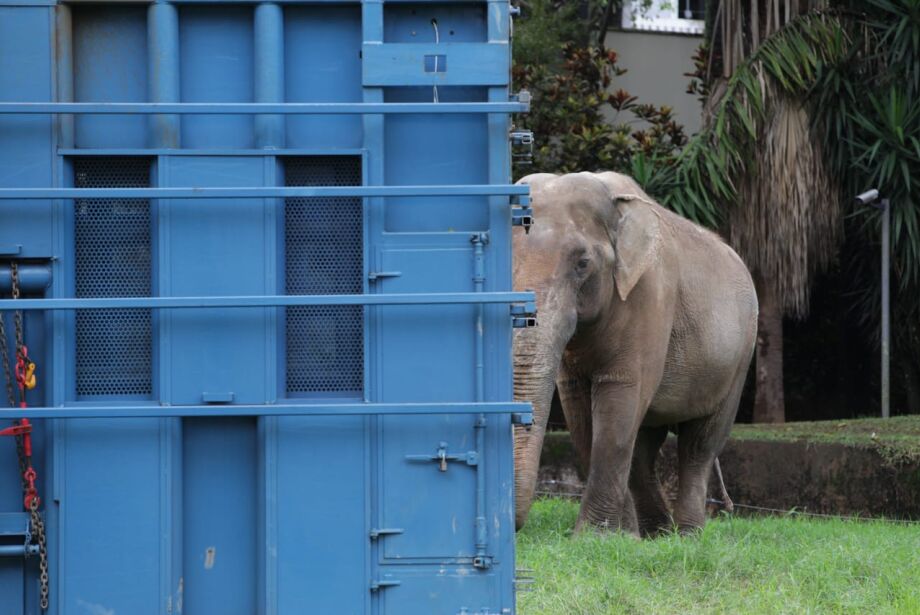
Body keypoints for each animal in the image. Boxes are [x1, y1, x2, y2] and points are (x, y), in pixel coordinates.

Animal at [512, 171, 758, 536]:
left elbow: (621, 395)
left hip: (739, 358)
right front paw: (620, 535)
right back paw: (655, 532)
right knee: (644, 446)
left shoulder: (650, 295)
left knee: (700, 443)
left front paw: (595, 536)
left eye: (583, 263)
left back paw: (687, 534)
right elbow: (579, 409)